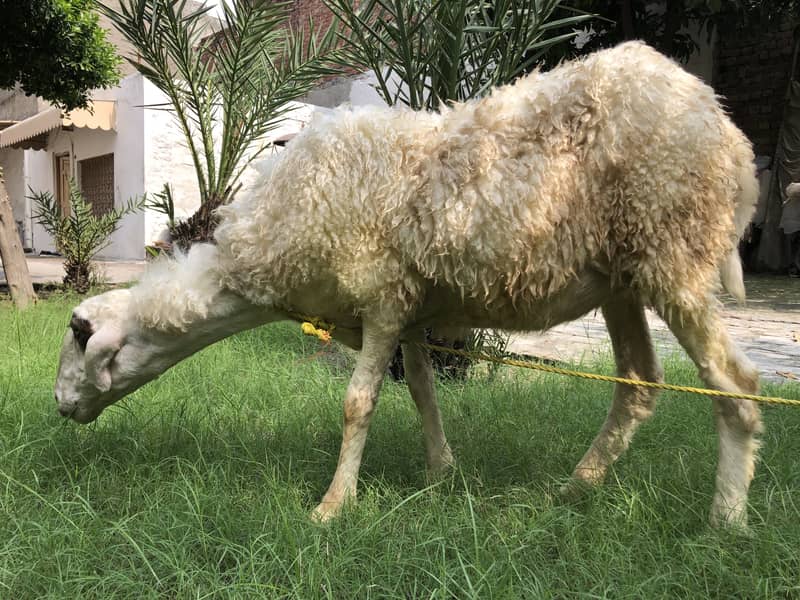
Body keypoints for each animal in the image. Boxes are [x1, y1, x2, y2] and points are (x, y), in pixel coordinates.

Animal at [54, 42, 761, 527]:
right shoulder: (408, 308)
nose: (59, 408)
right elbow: (422, 391)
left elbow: (357, 403)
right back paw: (575, 488)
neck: (267, 247)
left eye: (78, 333)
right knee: (639, 382)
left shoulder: (381, 297)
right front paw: (440, 474)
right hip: (622, 278)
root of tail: (723, 123)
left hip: (674, 249)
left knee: (736, 385)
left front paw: (332, 508)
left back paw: (725, 520)